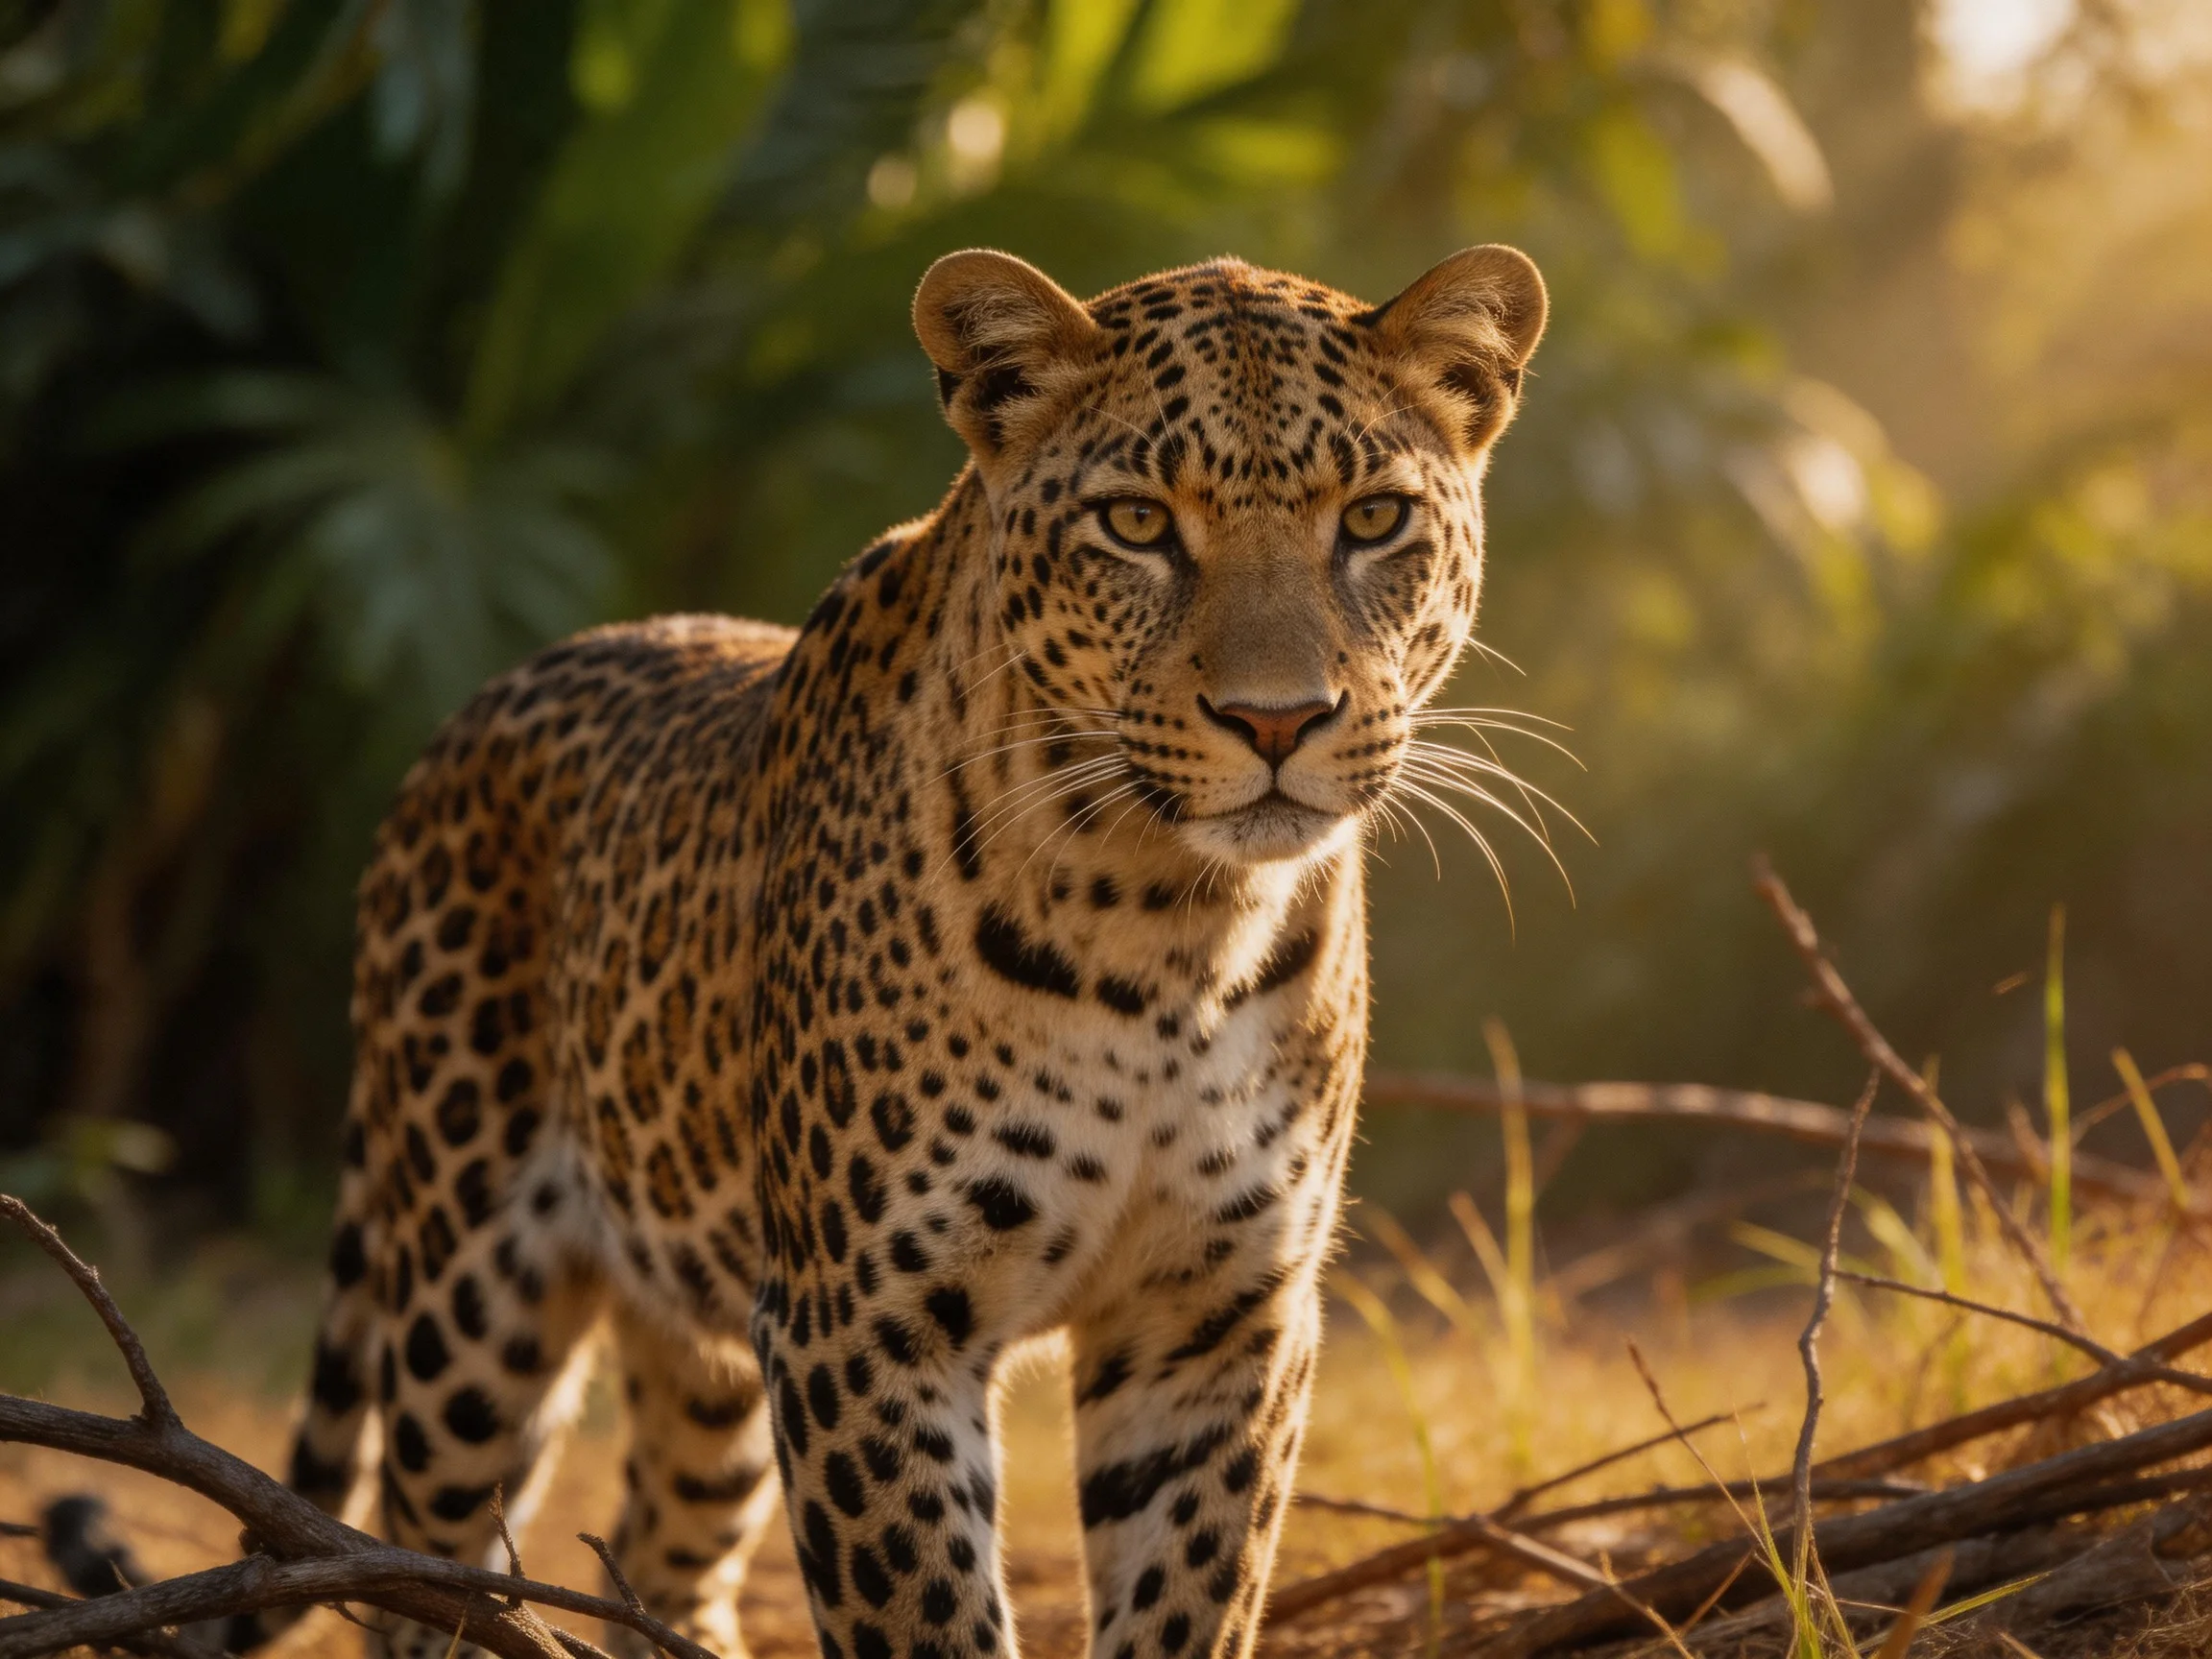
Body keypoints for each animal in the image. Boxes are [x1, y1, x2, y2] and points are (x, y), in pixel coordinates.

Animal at [280, 242, 1548, 1659]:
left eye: (1374, 520)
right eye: (1137, 524)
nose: (1277, 721)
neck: (1168, 930)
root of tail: (475, 708)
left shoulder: (1219, 1318)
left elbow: (1188, 1594)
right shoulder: (865, 1322)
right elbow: (923, 1610)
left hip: (701, 1343)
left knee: (662, 1552)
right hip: (467, 1295)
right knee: (417, 1566)